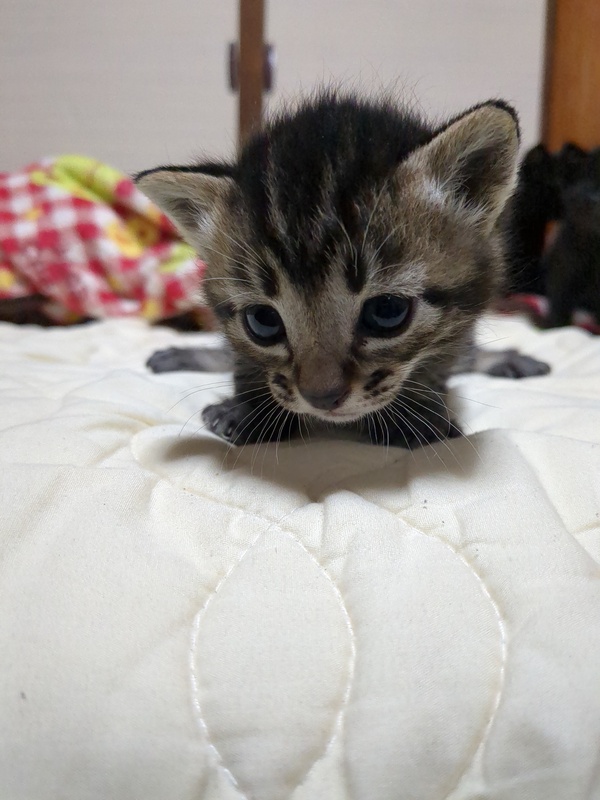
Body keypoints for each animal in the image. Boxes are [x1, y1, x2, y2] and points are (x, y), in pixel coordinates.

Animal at [136, 92, 549, 449]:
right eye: (262, 322)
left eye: (387, 312)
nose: (321, 398)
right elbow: (242, 359)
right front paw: (253, 409)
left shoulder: (460, 319)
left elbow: (438, 360)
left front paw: (414, 414)